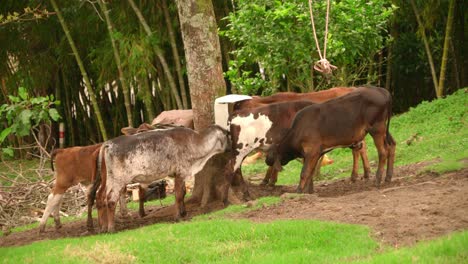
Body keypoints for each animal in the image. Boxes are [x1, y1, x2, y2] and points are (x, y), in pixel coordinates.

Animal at [95, 125, 232, 232]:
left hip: (106, 179)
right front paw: (178, 216)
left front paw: (183, 212)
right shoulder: (180, 172)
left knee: (100, 197)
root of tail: (108, 143)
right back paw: (111, 228)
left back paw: (103, 227)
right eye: (228, 135)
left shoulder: (178, 174)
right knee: (111, 200)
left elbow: (183, 193)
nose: (234, 148)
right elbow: (178, 195)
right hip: (117, 180)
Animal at [225, 86, 372, 186]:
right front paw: (268, 180)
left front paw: (270, 180)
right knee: (361, 149)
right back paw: (365, 173)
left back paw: (356, 175)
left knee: (358, 150)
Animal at [266, 85, 394, 193]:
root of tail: (382, 90)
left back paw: (377, 180)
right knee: (391, 145)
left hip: (377, 128)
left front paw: (299, 191)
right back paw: (388, 176)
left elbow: (305, 172)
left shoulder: (312, 151)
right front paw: (309, 191)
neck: (297, 131)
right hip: (383, 129)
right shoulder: (316, 153)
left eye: (271, 154)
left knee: (383, 152)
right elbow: (311, 172)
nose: (266, 160)